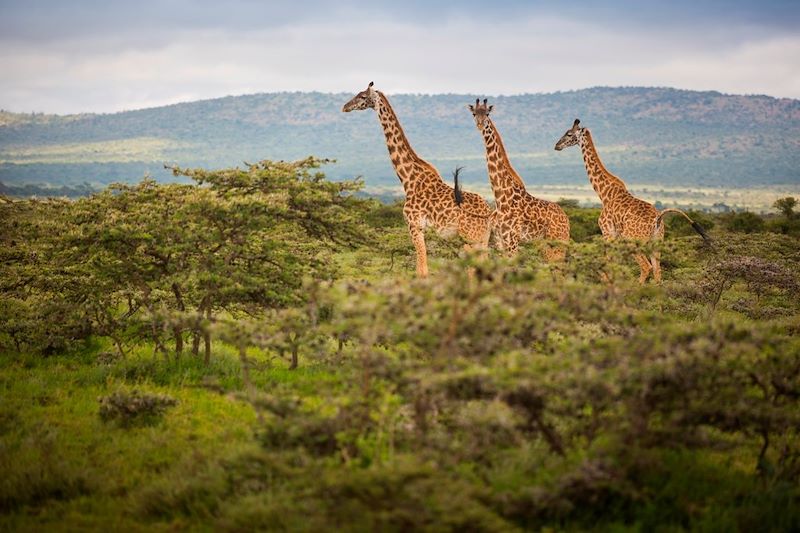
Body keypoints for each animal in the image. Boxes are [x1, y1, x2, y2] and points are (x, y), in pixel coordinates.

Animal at [340, 82, 490, 278]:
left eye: (363, 96)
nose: (345, 107)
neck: (408, 179)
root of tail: (488, 212)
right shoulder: (421, 228)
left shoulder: (414, 225)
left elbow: (422, 270)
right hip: (482, 239)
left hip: (470, 237)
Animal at [466, 98, 572, 260]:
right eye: (474, 113)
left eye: (487, 113)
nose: (480, 124)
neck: (500, 197)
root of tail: (566, 220)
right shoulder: (499, 239)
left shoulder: (513, 239)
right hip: (546, 244)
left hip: (557, 241)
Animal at [552, 119, 708, 284]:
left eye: (569, 133)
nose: (557, 145)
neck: (604, 193)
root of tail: (657, 219)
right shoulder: (614, 235)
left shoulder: (607, 231)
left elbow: (607, 264)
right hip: (657, 242)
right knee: (657, 271)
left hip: (633, 241)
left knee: (646, 267)